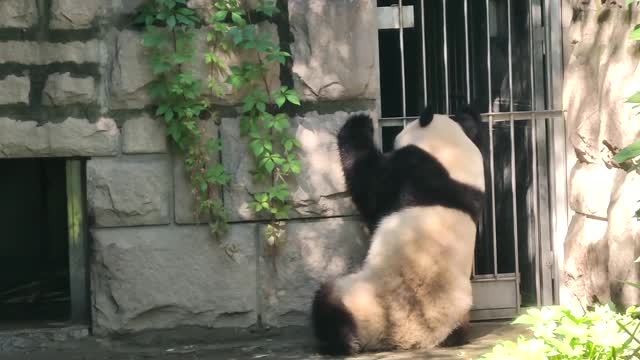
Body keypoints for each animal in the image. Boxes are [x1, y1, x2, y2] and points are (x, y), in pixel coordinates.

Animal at [310, 104, 484, 354]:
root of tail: (408, 338)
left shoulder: (410, 170)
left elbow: (369, 185)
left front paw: (359, 122)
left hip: (361, 297)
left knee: (327, 304)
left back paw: (340, 342)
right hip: (459, 311)